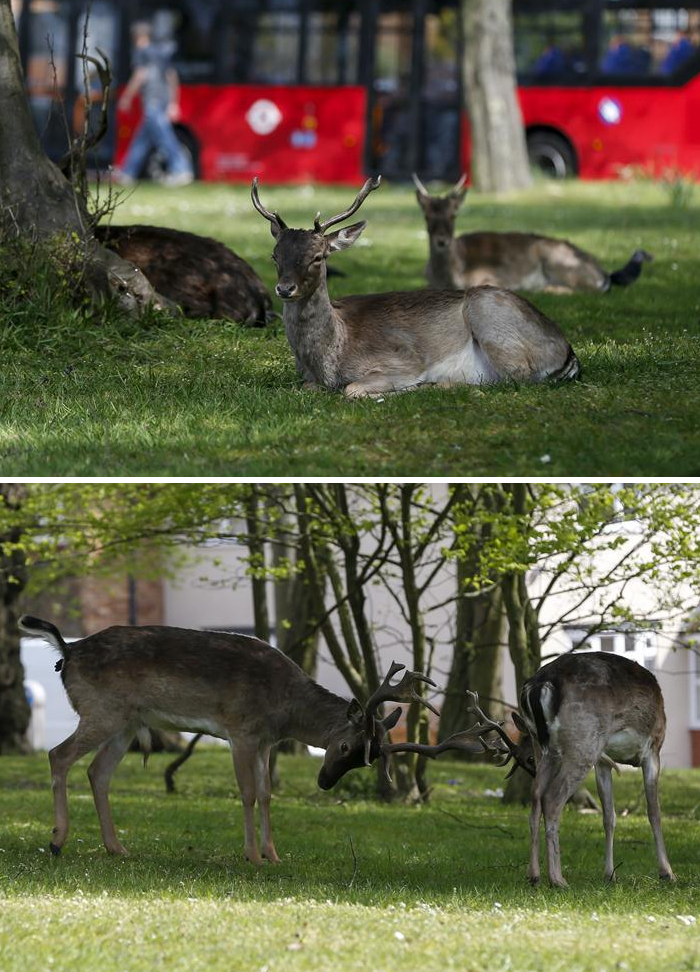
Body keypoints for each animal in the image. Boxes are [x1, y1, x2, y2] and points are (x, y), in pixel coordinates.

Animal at [19, 620, 434, 860]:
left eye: (369, 757)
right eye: (346, 746)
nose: (325, 781)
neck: (285, 705)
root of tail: (67, 651)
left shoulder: (266, 742)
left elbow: (267, 794)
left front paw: (273, 854)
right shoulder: (241, 730)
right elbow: (248, 793)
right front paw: (251, 855)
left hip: (126, 721)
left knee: (97, 772)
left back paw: (117, 847)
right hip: (102, 710)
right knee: (58, 755)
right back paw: (57, 841)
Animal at [252, 175, 580, 394]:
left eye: (318, 256)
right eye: (275, 255)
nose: (285, 289)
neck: (328, 362)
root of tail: (567, 351)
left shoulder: (402, 360)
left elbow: (352, 389)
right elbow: (304, 387)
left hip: (490, 315)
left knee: (514, 377)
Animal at [386, 652, 676, 888]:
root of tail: (539, 685)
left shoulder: (603, 762)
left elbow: (609, 817)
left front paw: (609, 875)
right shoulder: (652, 749)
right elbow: (654, 812)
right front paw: (667, 873)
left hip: (546, 747)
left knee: (536, 797)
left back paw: (534, 874)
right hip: (583, 740)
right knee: (552, 799)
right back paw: (557, 879)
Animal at [412, 173, 652, 292]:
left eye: (454, 214)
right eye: (426, 215)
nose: (442, 240)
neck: (448, 276)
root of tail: (604, 273)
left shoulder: (491, 276)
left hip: (559, 262)